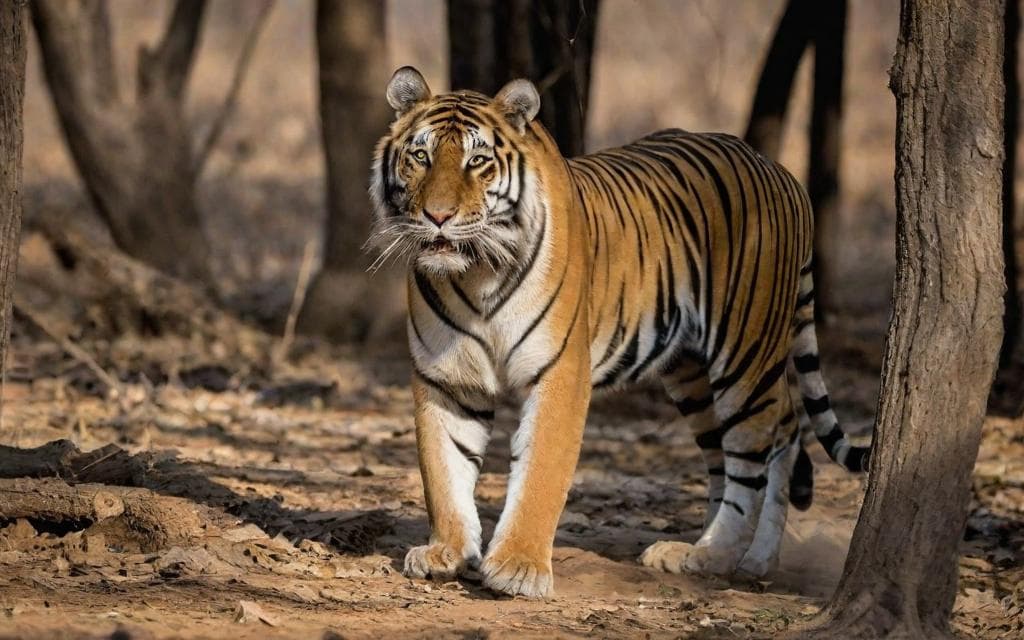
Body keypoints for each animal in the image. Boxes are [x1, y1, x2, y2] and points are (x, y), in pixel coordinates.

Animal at [368, 66, 870, 599]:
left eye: (478, 161)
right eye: (420, 156)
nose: (438, 216)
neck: (476, 272)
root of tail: (783, 173)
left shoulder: (561, 372)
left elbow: (541, 471)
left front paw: (518, 567)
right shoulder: (446, 380)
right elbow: (443, 470)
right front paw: (446, 551)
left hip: (745, 354)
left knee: (756, 451)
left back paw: (715, 554)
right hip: (691, 373)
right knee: (773, 435)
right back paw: (733, 557)